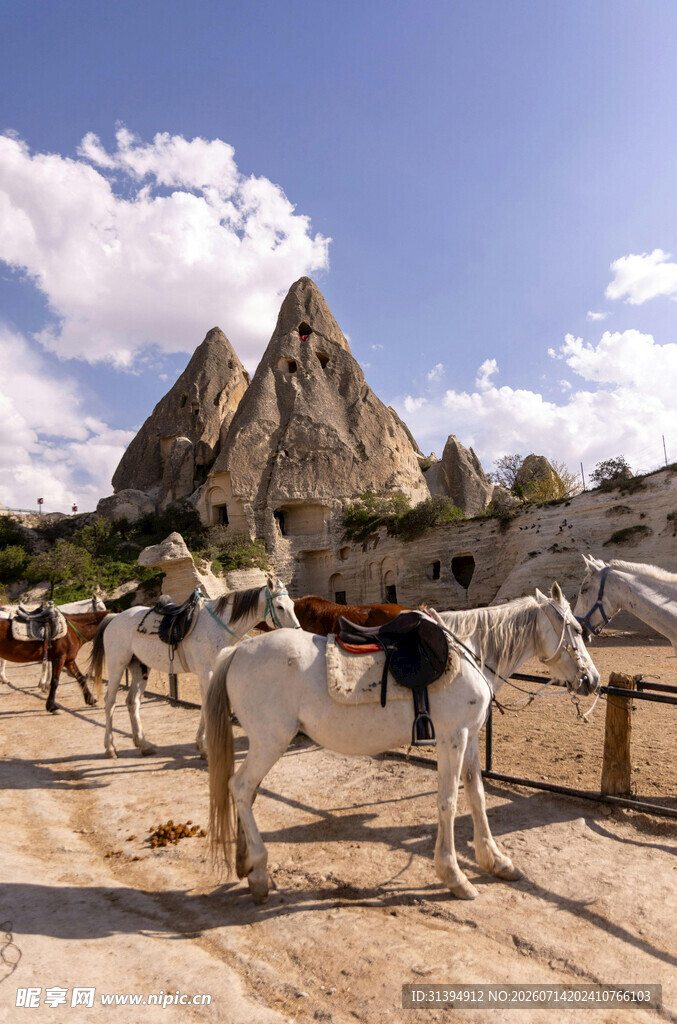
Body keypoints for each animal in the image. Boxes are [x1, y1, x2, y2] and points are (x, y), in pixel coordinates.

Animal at [88, 578, 301, 759]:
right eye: (280, 606)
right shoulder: (205, 673)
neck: (218, 626)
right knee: (110, 702)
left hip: (139, 669)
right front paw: (204, 747)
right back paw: (110, 748)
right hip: (117, 666)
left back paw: (143, 744)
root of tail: (114, 617)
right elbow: (207, 705)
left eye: (293, 605)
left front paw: (202, 745)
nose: (297, 633)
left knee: (132, 701)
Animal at [205, 583, 598, 903]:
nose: (592, 680)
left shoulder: (470, 737)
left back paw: (246, 864)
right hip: (270, 741)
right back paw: (258, 870)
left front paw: (495, 861)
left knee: (247, 792)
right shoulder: (452, 738)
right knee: (240, 787)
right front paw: (454, 875)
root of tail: (235, 653)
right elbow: (448, 801)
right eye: (578, 630)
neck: (470, 652)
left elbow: (477, 796)